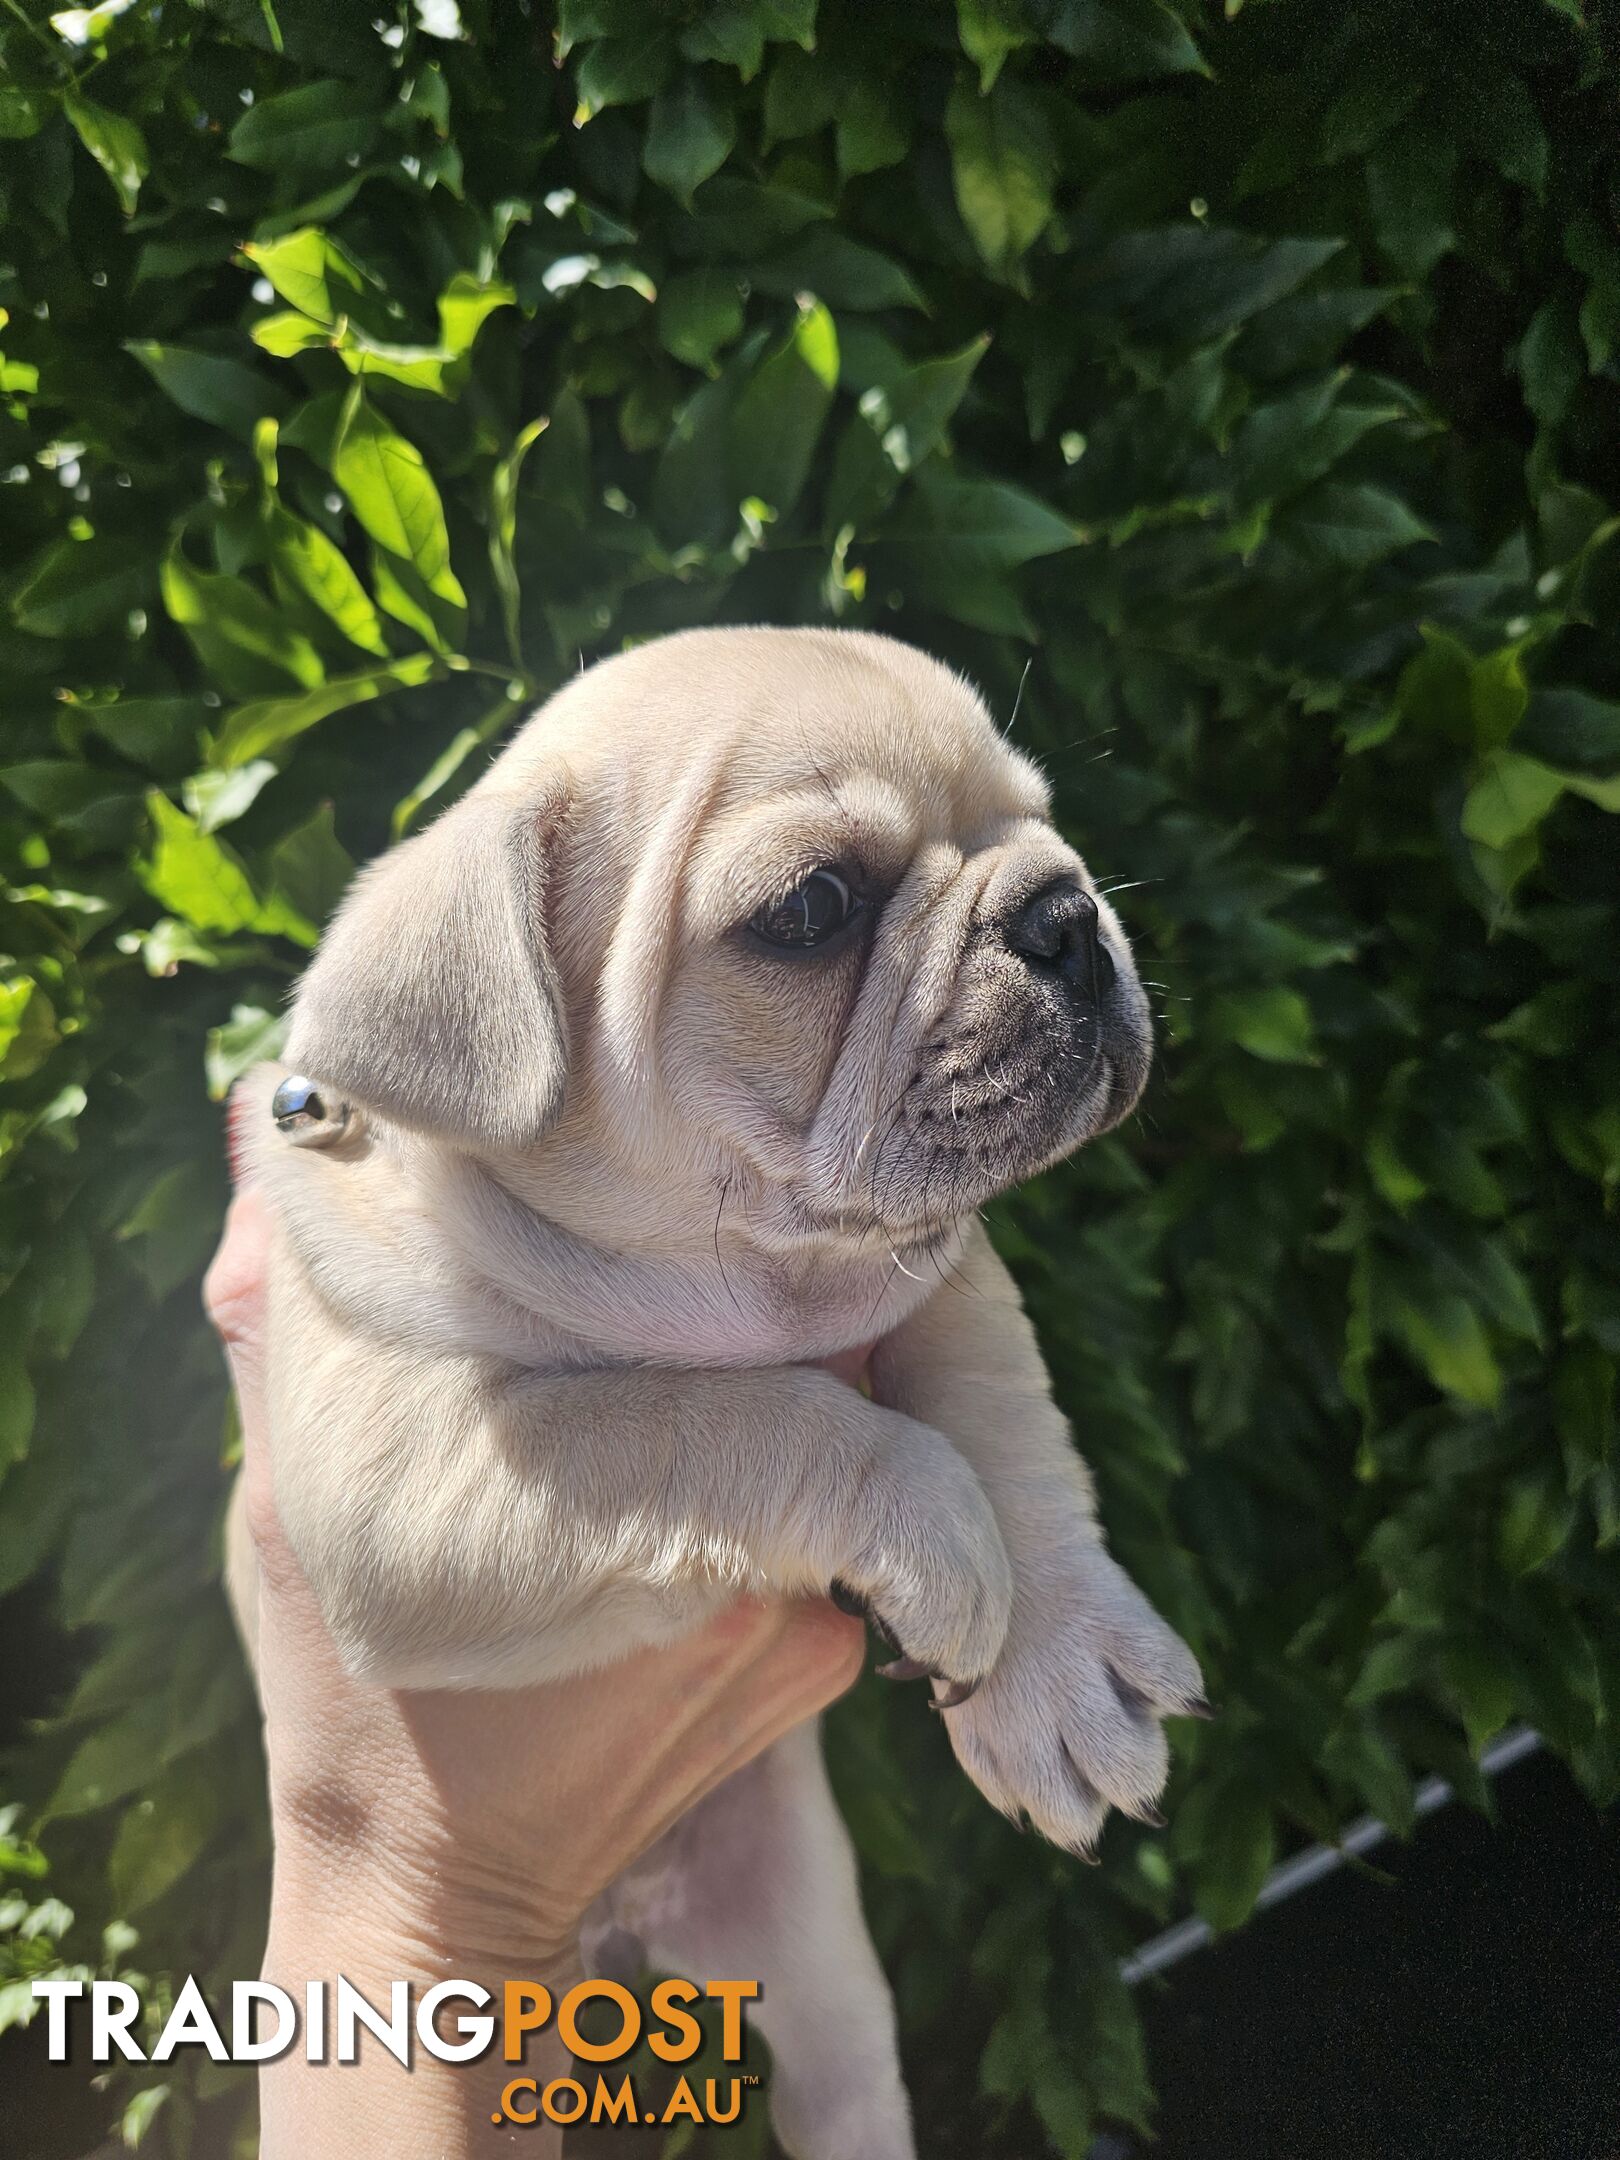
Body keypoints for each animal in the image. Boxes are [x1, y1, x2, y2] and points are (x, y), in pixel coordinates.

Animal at [237, 630, 1209, 2160]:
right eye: (813, 909)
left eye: (1040, 818)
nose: (1063, 912)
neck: (743, 1278)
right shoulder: (411, 1489)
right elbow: (707, 1421)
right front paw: (930, 1526)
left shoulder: (939, 1283)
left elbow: (1002, 1421)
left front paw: (1057, 1662)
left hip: (813, 1955)